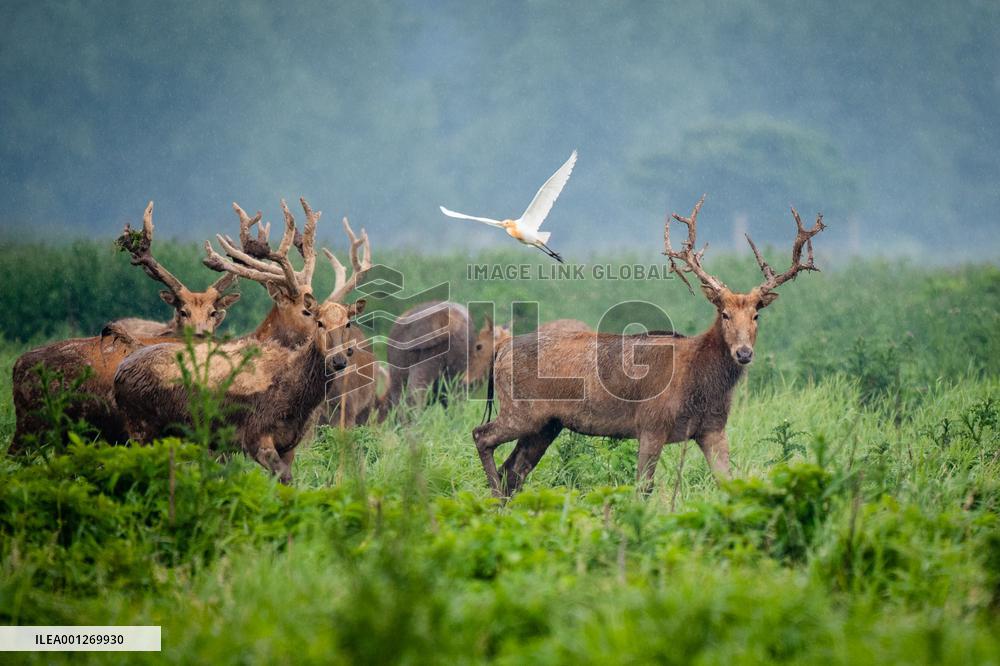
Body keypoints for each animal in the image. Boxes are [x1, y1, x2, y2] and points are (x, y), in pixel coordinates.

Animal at [472, 196, 826, 498]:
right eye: (724, 313)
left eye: (756, 315)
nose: (743, 353)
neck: (700, 385)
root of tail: (502, 348)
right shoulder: (652, 423)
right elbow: (643, 488)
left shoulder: (713, 428)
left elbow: (728, 482)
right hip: (521, 410)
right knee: (482, 436)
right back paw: (493, 502)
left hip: (546, 424)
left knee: (513, 470)